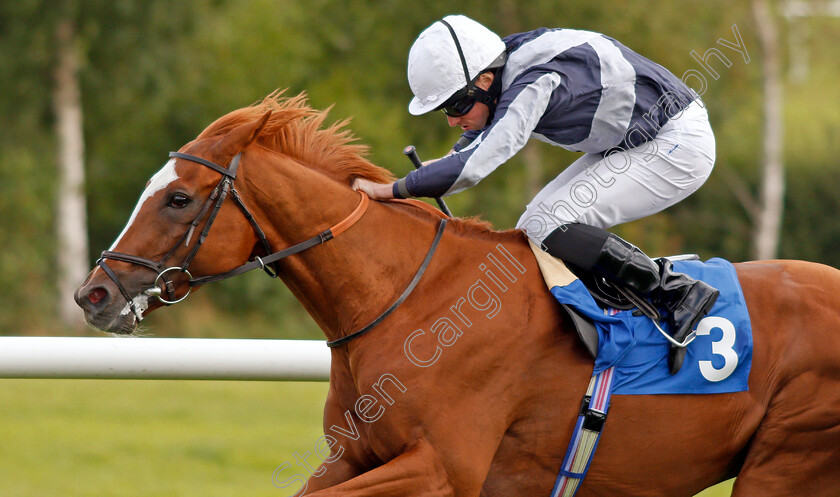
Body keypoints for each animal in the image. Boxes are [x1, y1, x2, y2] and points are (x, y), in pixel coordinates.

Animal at [74, 94, 840, 496]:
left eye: (178, 197)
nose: (94, 293)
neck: (409, 300)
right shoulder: (358, 454)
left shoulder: (441, 468)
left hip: (787, 461)